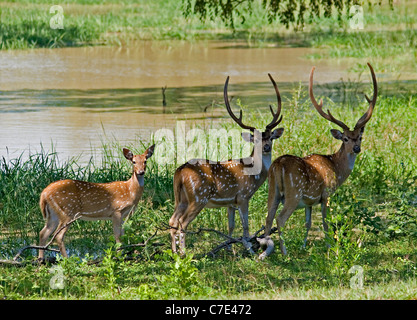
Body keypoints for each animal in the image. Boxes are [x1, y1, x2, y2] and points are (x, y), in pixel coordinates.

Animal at [168, 73, 282, 255]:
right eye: (256, 139)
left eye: (271, 137)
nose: (266, 147)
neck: (254, 175)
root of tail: (180, 172)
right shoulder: (243, 196)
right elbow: (245, 228)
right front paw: (250, 250)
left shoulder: (230, 203)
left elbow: (231, 226)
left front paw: (229, 249)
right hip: (198, 197)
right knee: (182, 223)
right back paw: (184, 253)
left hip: (180, 198)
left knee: (172, 221)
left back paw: (174, 253)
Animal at [258, 62, 376, 258]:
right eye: (345, 138)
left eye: (359, 137)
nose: (356, 148)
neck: (335, 167)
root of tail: (279, 165)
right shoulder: (326, 194)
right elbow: (326, 222)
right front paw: (330, 248)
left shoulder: (309, 201)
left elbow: (308, 222)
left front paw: (304, 245)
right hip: (293, 192)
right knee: (280, 218)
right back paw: (284, 252)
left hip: (272, 190)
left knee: (268, 217)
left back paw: (265, 249)